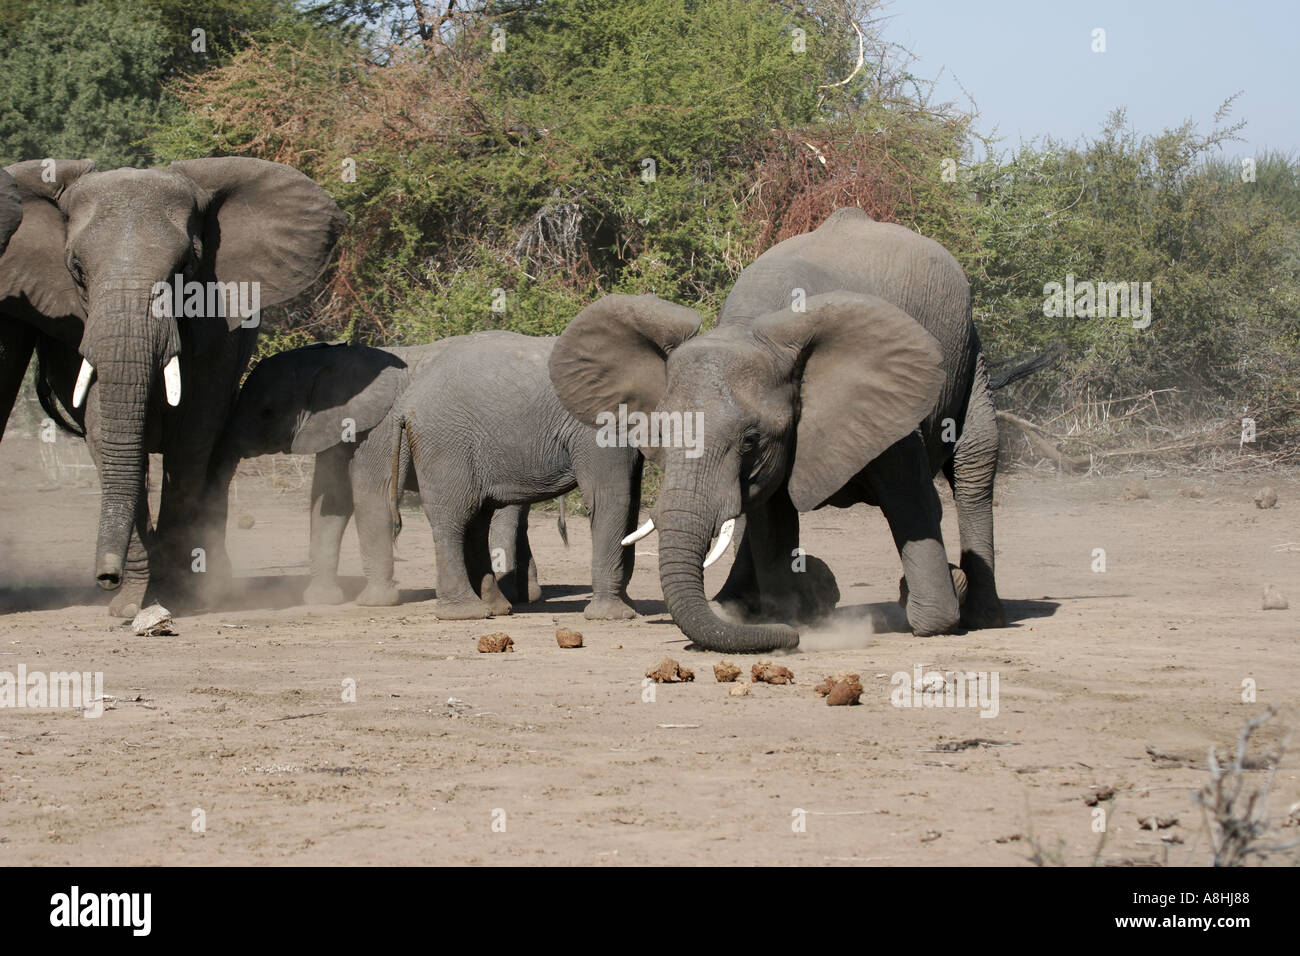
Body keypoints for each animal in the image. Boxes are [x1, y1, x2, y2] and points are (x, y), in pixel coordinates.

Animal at [0, 157, 345, 617]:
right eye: (76, 270)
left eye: (185, 268)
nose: (105, 577)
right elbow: (105, 432)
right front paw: (132, 604)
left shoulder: (217, 329)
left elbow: (192, 436)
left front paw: (177, 598)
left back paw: (214, 581)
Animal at [210, 341, 546, 607]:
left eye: (266, 413)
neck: (336, 358)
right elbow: (330, 502)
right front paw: (321, 600)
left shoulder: (381, 427)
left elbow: (371, 496)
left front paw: (374, 603)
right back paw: (526, 596)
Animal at [390, 330, 643, 620]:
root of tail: (406, 401)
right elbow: (611, 497)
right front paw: (615, 615)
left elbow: (631, 498)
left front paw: (631, 609)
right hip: (444, 441)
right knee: (455, 515)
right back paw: (467, 612)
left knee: (477, 518)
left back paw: (497, 608)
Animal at [549, 206, 1005, 653]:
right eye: (660, 434)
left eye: (752, 440)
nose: (792, 639)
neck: (751, 327)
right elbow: (772, 518)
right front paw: (792, 620)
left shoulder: (884, 406)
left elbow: (910, 499)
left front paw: (937, 613)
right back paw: (735, 607)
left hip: (972, 359)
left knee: (974, 469)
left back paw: (982, 614)